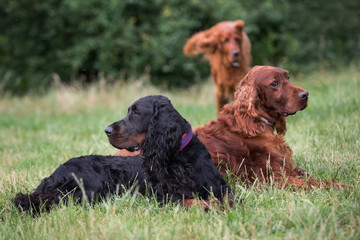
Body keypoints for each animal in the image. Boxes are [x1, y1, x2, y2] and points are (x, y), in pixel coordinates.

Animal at [13, 94, 233, 213]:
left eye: (136, 112)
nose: (107, 130)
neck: (177, 156)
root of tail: (53, 175)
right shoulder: (164, 196)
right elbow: (192, 201)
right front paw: (212, 205)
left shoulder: (220, 187)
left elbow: (229, 198)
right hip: (91, 188)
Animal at [195, 65, 348, 189]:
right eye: (274, 83)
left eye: (288, 78)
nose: (305, 94)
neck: (255, 122)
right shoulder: (273, 179)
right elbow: (315, 182)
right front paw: (345, 187)